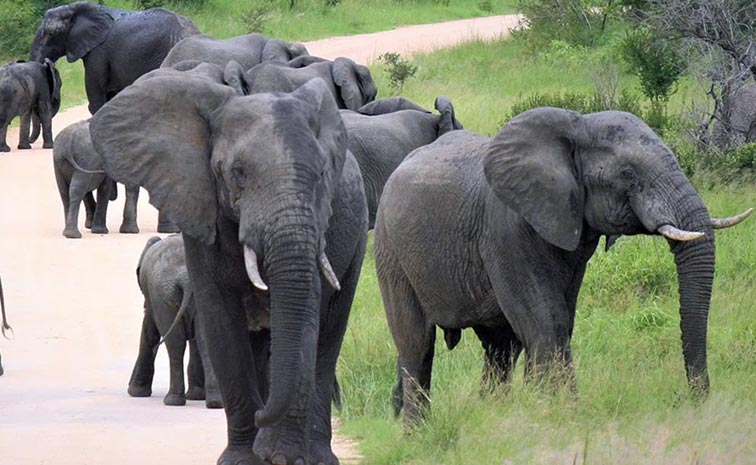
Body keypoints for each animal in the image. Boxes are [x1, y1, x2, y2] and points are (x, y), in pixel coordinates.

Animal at [128, 235, 222, 408]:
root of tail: (186, 279)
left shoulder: (152, 298)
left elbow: (149, 330)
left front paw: (135, 392)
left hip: (163, 296)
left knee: (175, 343)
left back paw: (172, 401)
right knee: (204, 341)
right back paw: (214, 402)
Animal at [374, 107, 751, 428]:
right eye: (628, 175)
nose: (689, 400)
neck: (576, 125)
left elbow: (559, 322)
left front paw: (547, 413)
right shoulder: (506, 230)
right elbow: (547, 321)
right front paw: (557, 418)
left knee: (500, 348)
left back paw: (491, 413)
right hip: (389, 248)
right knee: (417, 345)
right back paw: (417, 434)